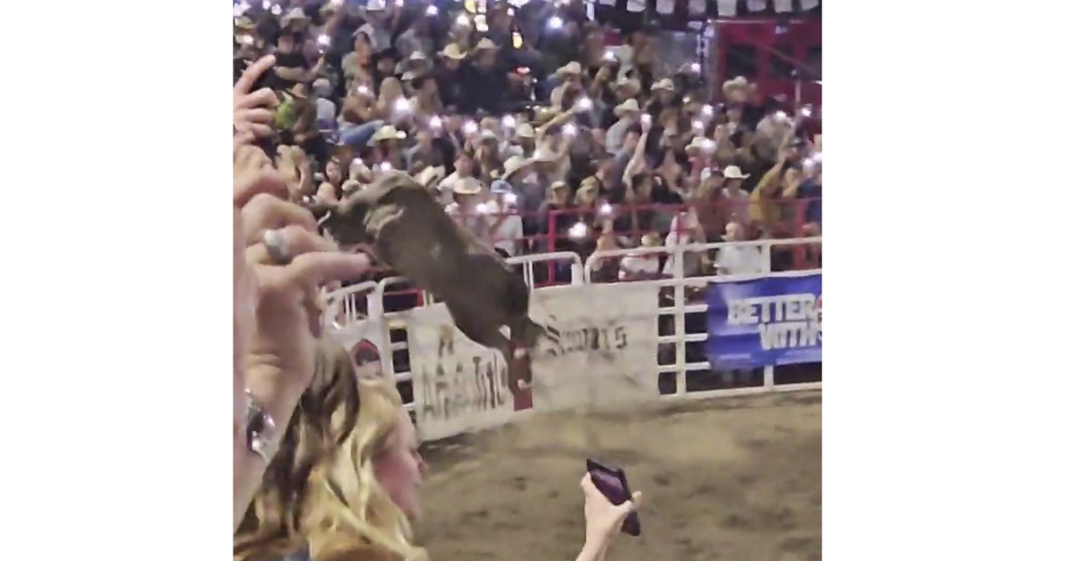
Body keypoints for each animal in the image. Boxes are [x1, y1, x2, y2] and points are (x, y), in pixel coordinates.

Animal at [318, 170, 546, 393]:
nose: (325, 223)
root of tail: (514, 285)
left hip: (480, 322)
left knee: (513, 341)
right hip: (473, 321)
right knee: (516, 340)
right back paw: (521, 376)